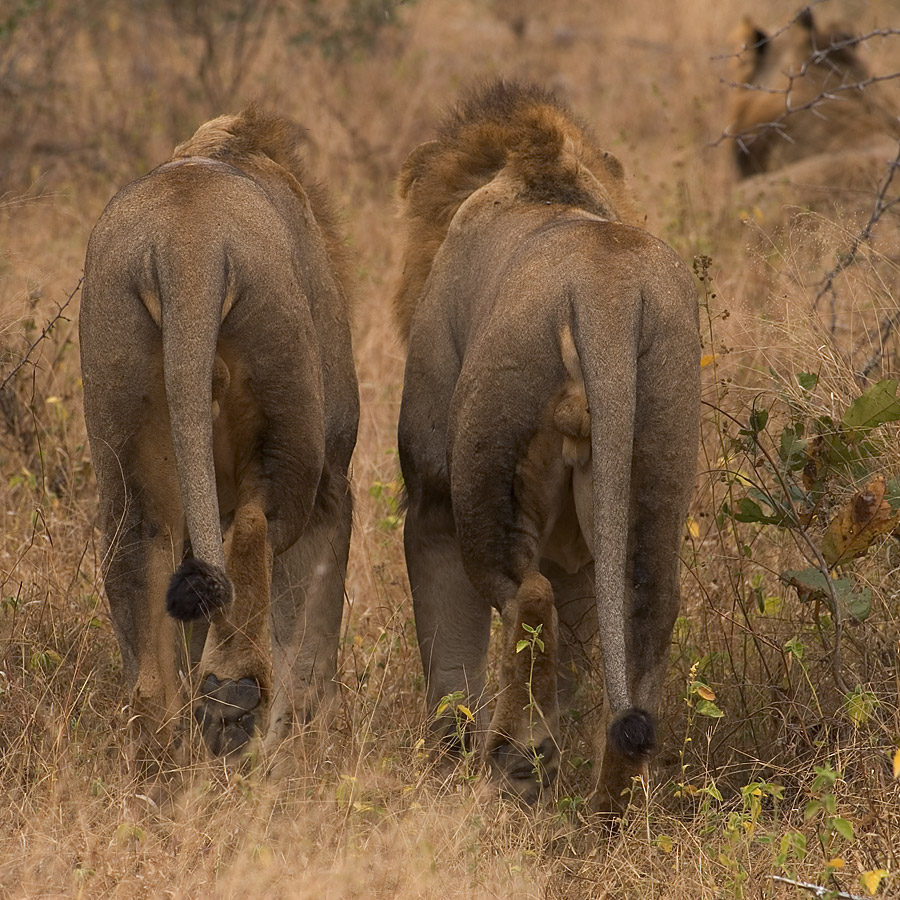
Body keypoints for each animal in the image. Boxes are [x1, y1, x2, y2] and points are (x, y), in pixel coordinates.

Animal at [78, 105, 358, 768]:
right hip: (292, 430)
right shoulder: (336, 480)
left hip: (124, 417)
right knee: (255, 527)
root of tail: (190, 242)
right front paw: (310, 728)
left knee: (137, 556)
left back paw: (163, 756)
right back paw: (233, 696)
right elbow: (316, 611)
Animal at [396, 79, 704, 808]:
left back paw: (511, 761)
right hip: (656, 461)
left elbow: (449, 657)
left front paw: (447, 756)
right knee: (647, 617)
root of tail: (608, 293)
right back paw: (608, 807)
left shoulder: (429, 494)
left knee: (526, 597)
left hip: (486, 475)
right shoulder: (580, 553)